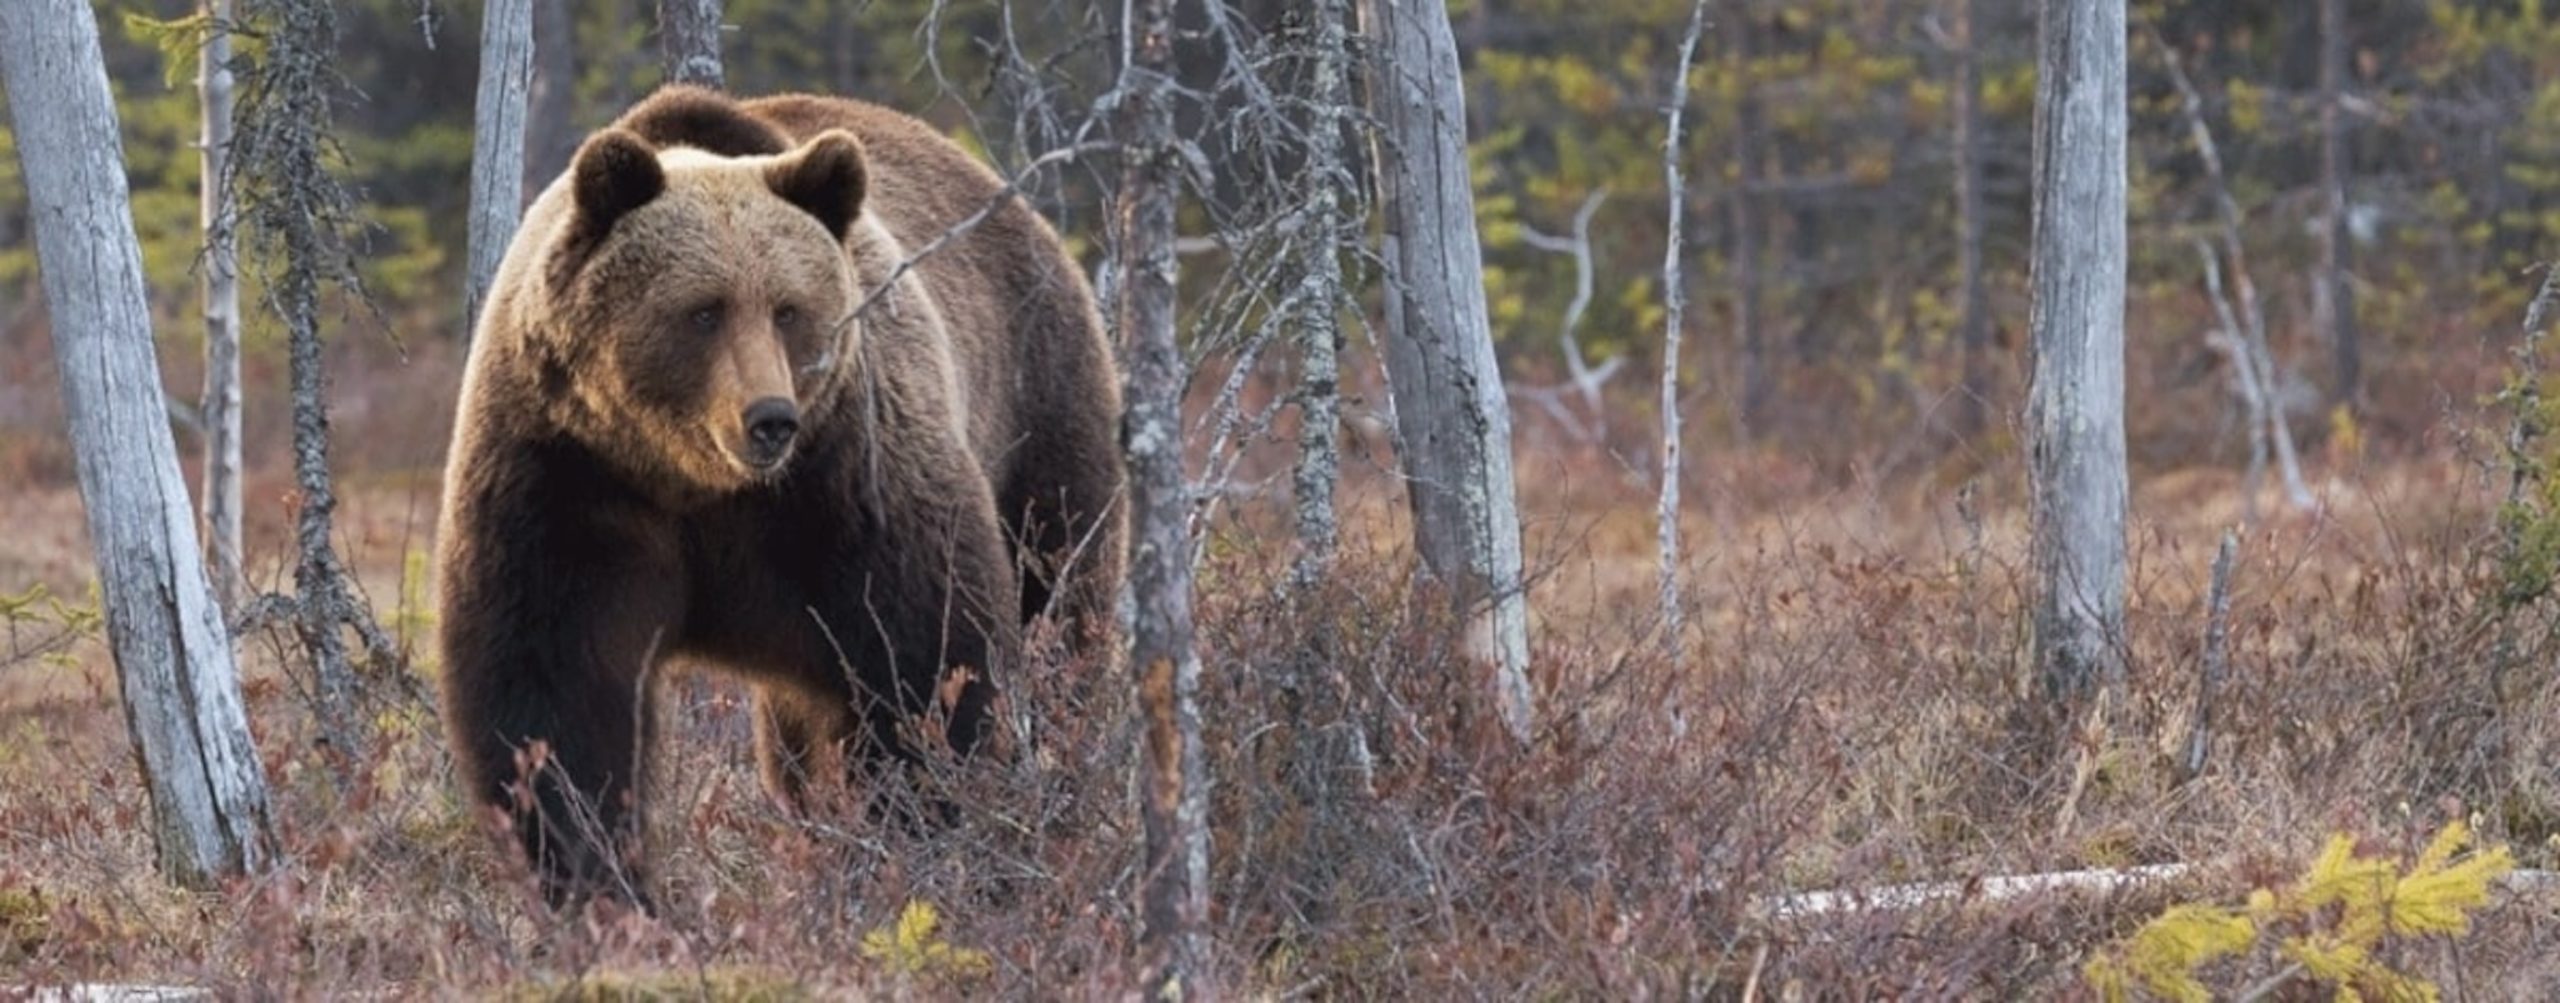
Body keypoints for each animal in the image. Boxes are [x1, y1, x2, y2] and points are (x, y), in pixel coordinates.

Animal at [437, 84, 1121, 900]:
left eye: (789, 308)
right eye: (703, 309)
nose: (769, 418)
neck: (694, 480)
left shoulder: (848, 480)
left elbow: (927, 660)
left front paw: (918, 838)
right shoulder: (566, 476)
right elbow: (554, 689)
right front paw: (597, 877)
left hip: (1036, 410)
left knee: (1057, 609)